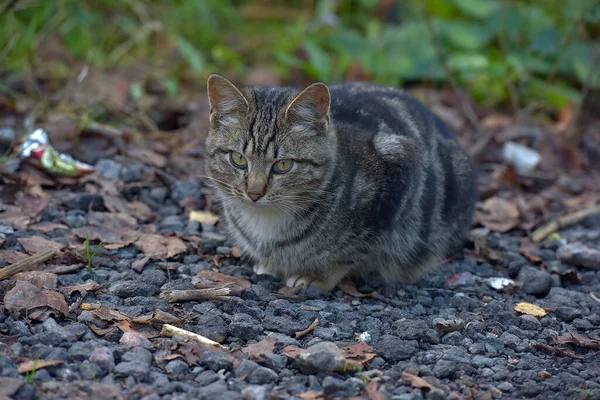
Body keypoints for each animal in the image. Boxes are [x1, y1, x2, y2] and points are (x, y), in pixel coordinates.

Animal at [204, 72, 476, 290]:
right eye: (238, 159)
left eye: (283, 165)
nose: (254, 193)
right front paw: (270, 264)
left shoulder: (398, 177)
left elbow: (351, 252)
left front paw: (316, 275)